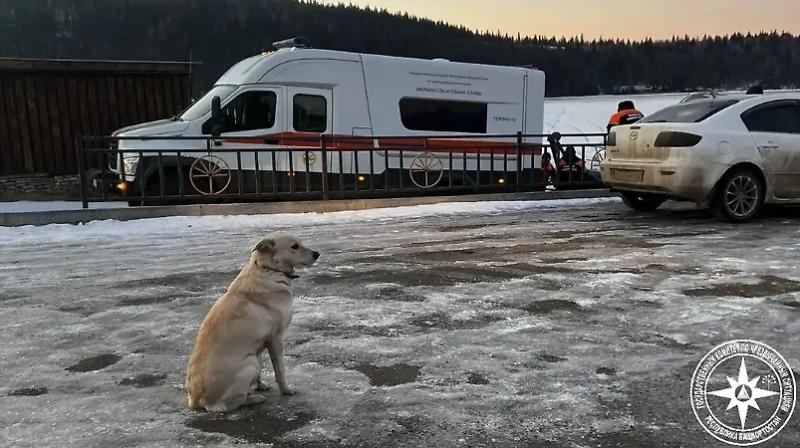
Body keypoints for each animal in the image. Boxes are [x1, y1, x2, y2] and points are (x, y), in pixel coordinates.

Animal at [184, 233, 318, 412]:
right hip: (250, 363)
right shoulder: (276, 338)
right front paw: (286, 390)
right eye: (294, 246)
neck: (268, 269)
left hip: (254, 358)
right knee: (226, 405)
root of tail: (195, 400)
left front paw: (260, 385)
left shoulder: (260, 343)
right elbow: (280, 370)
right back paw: (253, 399)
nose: (317, 254)